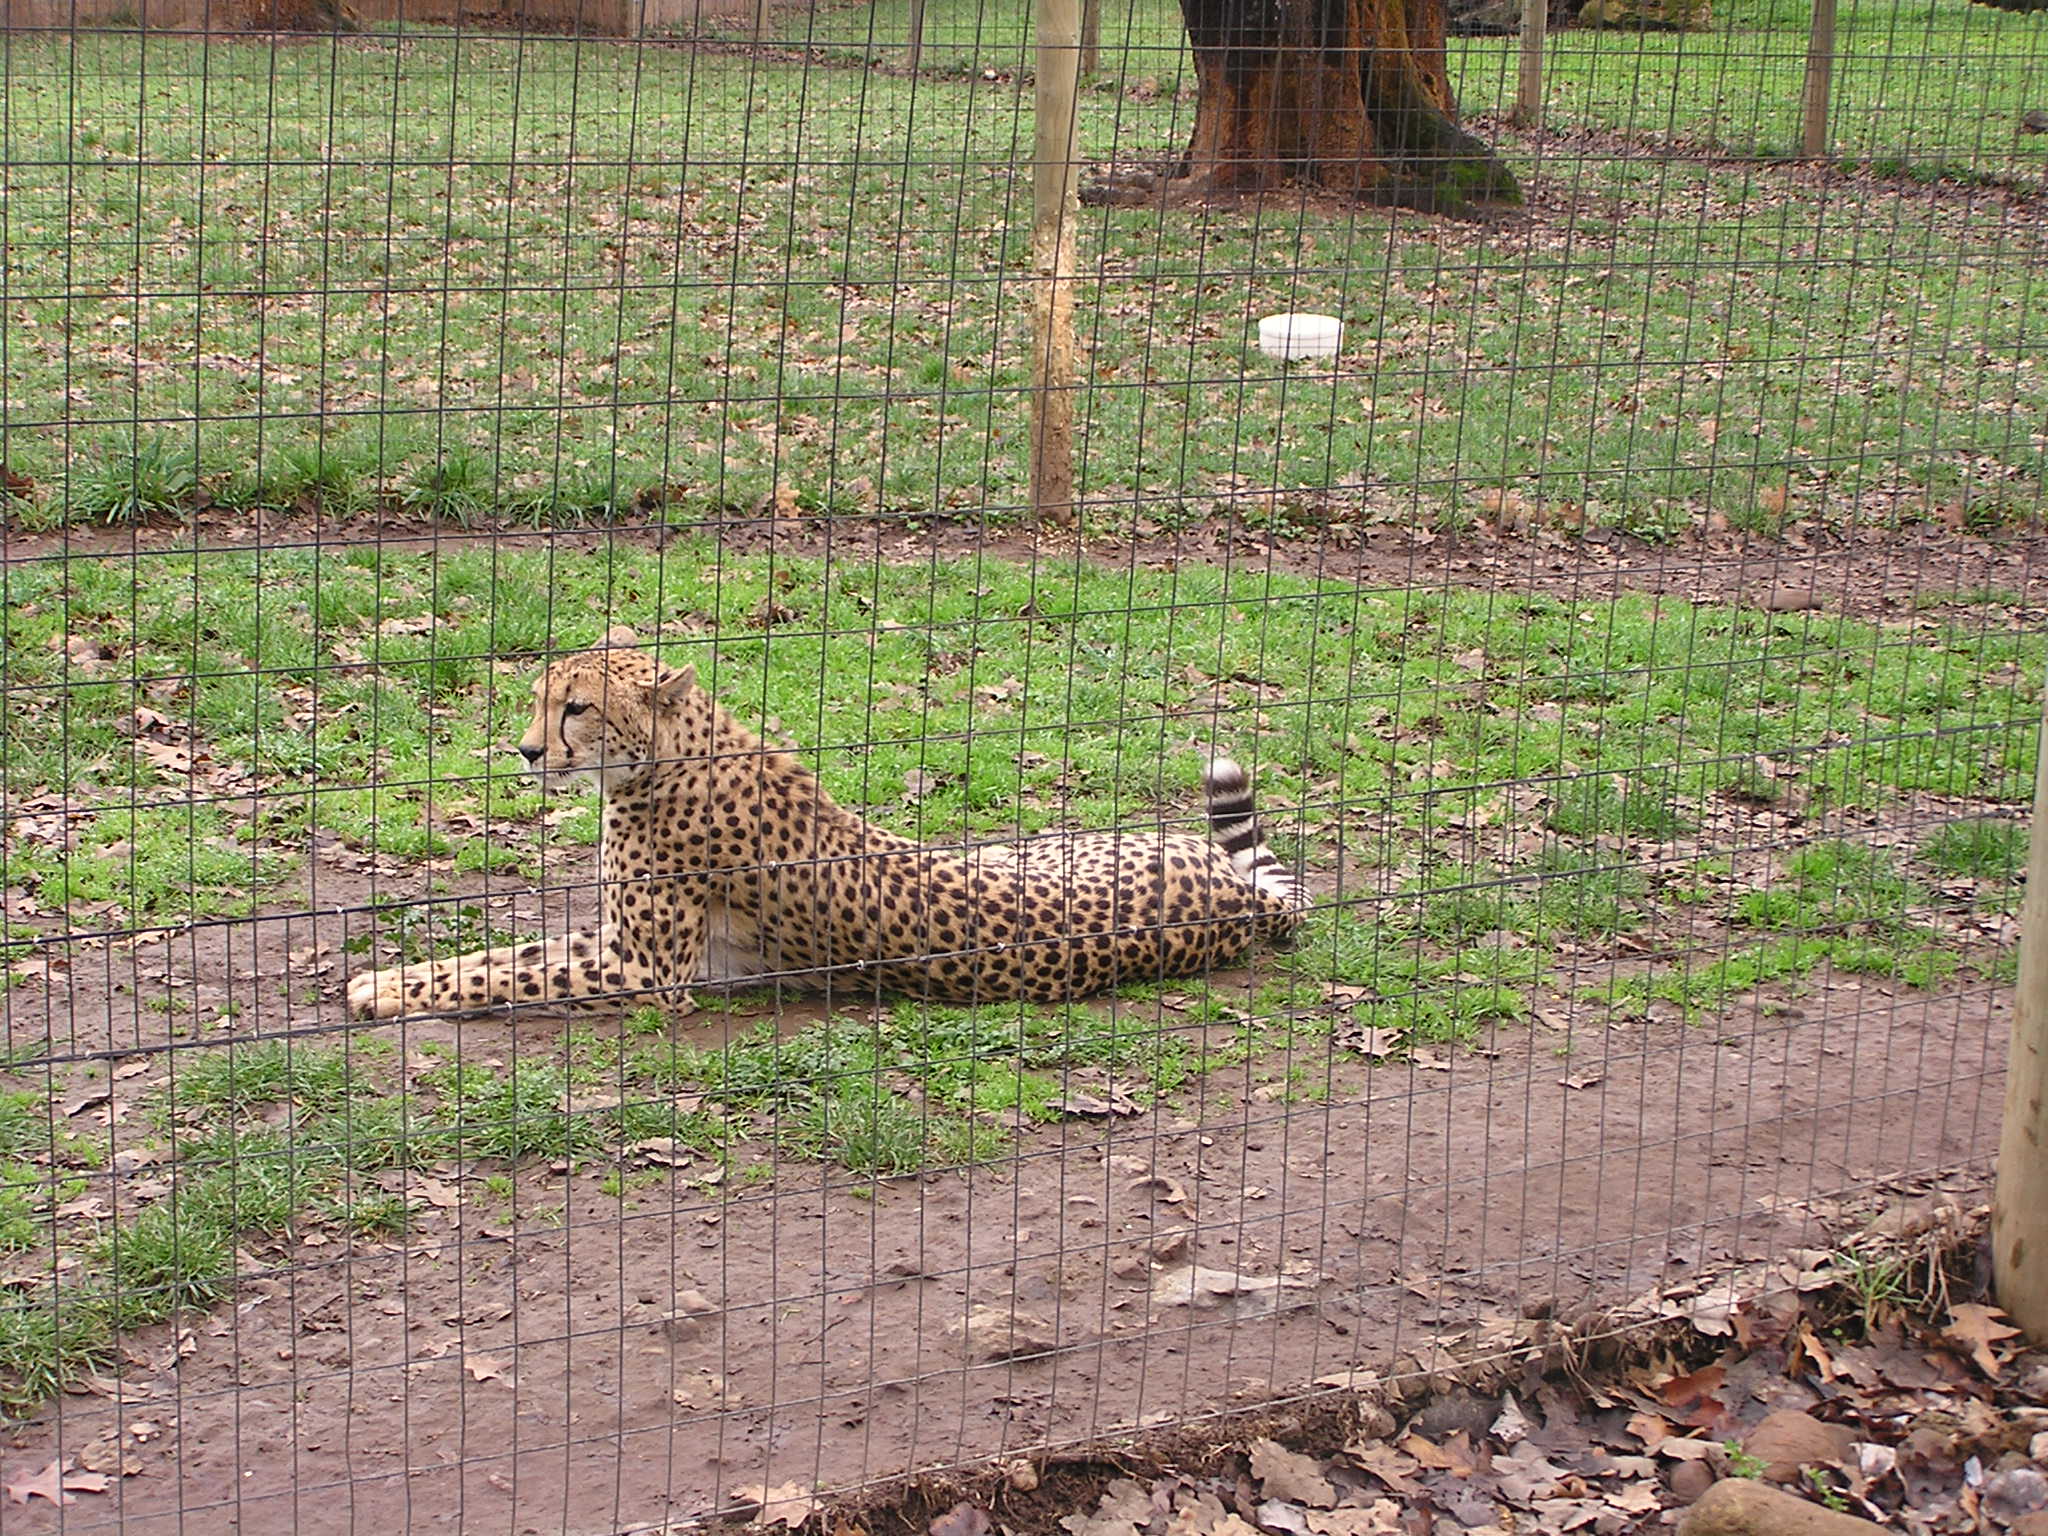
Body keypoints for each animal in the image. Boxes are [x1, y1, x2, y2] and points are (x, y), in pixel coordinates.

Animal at [345, 627, 1307, 1021]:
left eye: (575, 707)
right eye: (541, 699)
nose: (525, 752)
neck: (668, 760)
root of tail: (1235, 899)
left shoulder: (651, 971)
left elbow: (501, 975)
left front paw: (383, 993)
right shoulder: (622, 942)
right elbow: (497, 955)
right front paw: (390, 978)